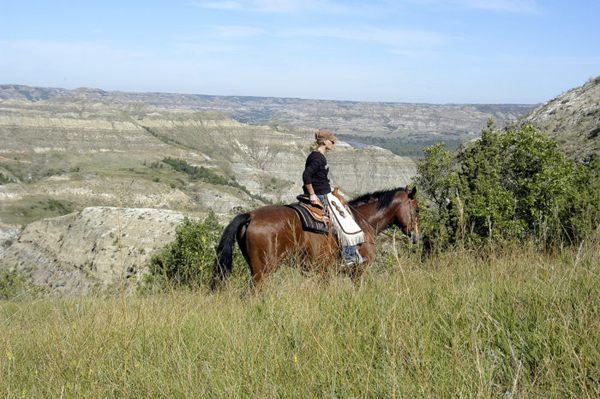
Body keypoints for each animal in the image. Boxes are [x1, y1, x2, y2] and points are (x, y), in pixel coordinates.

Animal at [213, 187, 420, 288]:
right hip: (263, 271)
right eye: (417, 210)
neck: (364, 222)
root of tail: (251, 216)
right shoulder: (358, 271)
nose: (416, 236)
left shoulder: (325, 273)